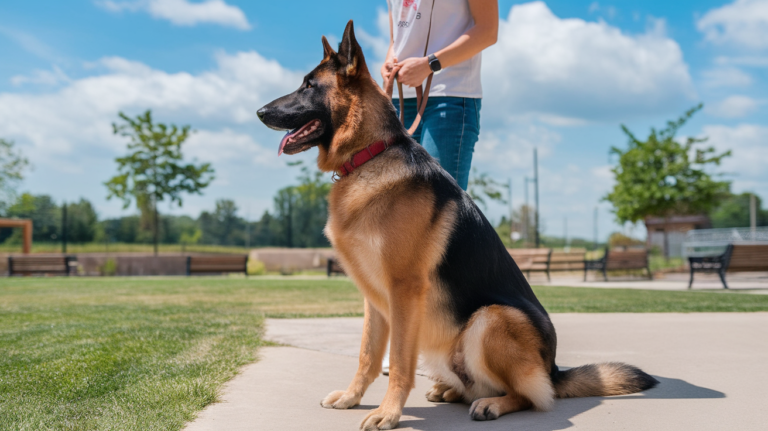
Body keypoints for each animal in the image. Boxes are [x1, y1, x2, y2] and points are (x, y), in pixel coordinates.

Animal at [257, 20, 658, 431]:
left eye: (309, 85)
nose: (259, 111)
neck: (369, 155)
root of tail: (554, 369)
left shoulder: (404, 291)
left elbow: (398, 361)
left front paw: (388, 412)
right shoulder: (375, 298)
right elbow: (368, 354)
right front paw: (353, 397)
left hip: (491, 318)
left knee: (531, 396)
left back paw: (493, 404)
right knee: (478, 385)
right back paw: (449, 390)